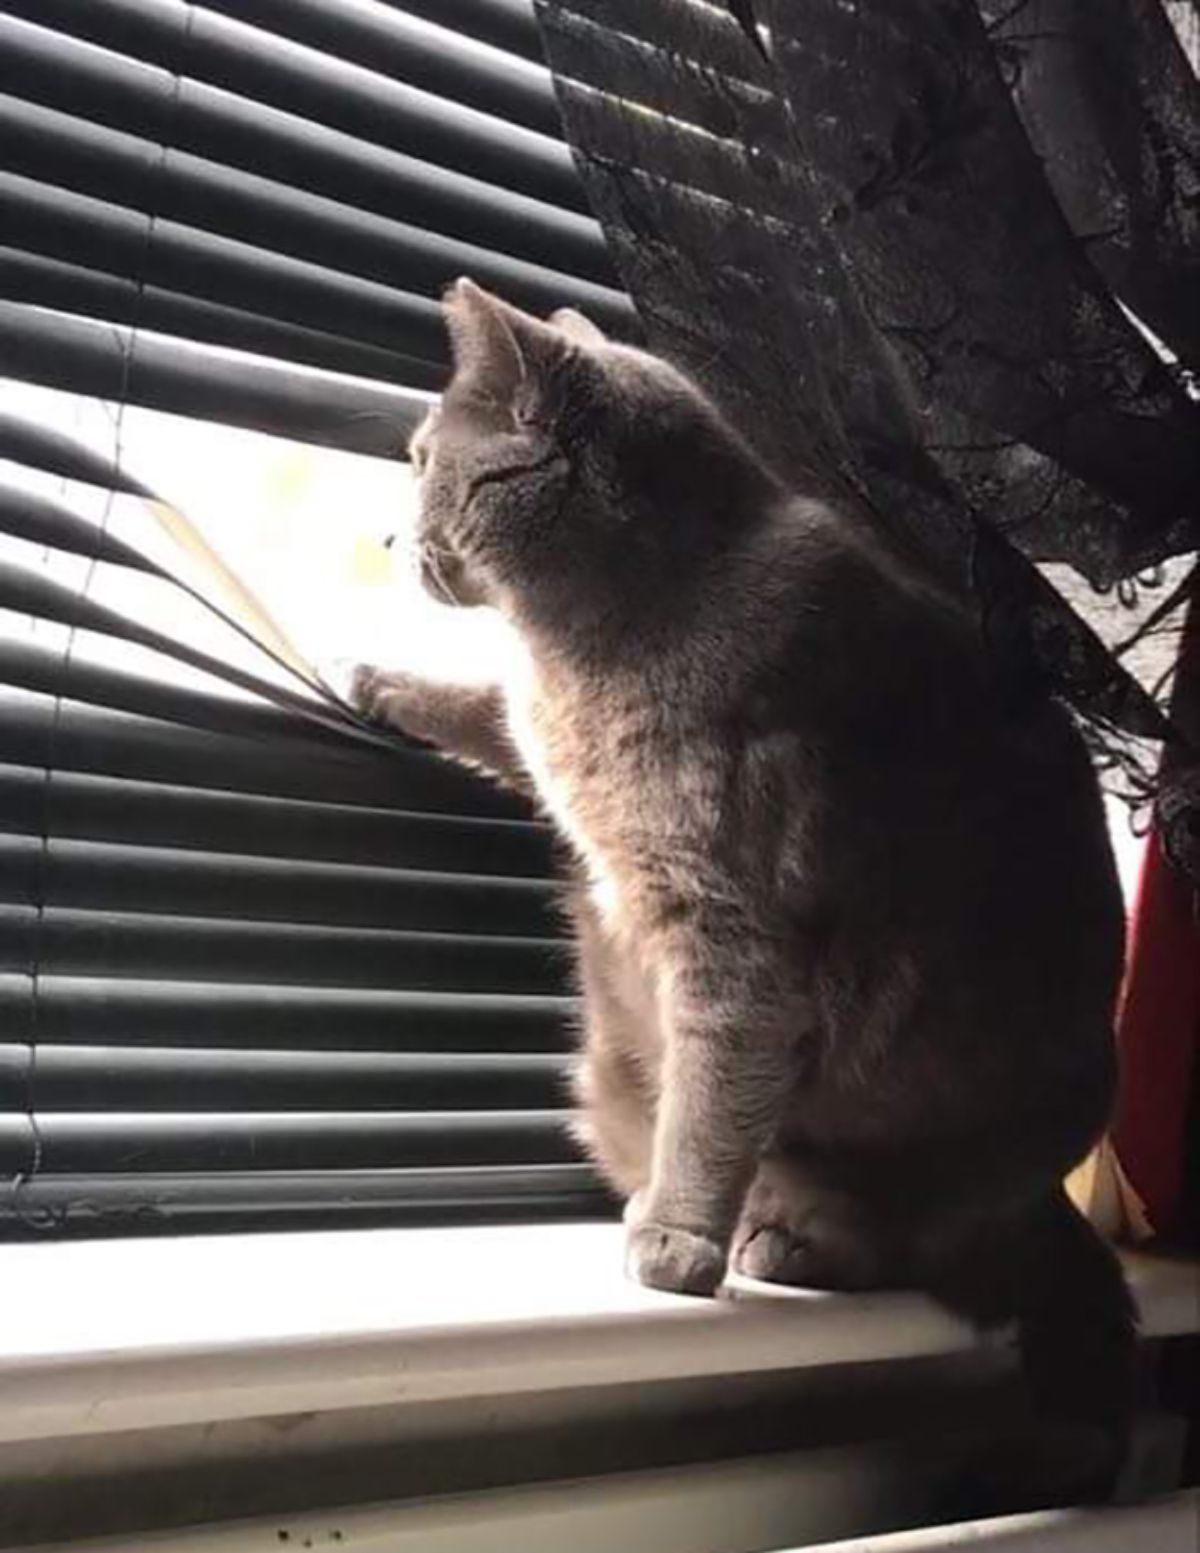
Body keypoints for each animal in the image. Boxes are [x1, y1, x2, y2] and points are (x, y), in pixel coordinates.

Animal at [353, 285, 1130, 1497]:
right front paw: (382, 680)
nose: (394, 538)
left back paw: (786, 1237)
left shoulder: (737, 932)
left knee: (910, 1244)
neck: (586, 641)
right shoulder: (538, 733)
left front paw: (678, 1239)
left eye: (426, 458)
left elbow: (714, 1095)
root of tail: (1050, 1208)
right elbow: (490, 713)